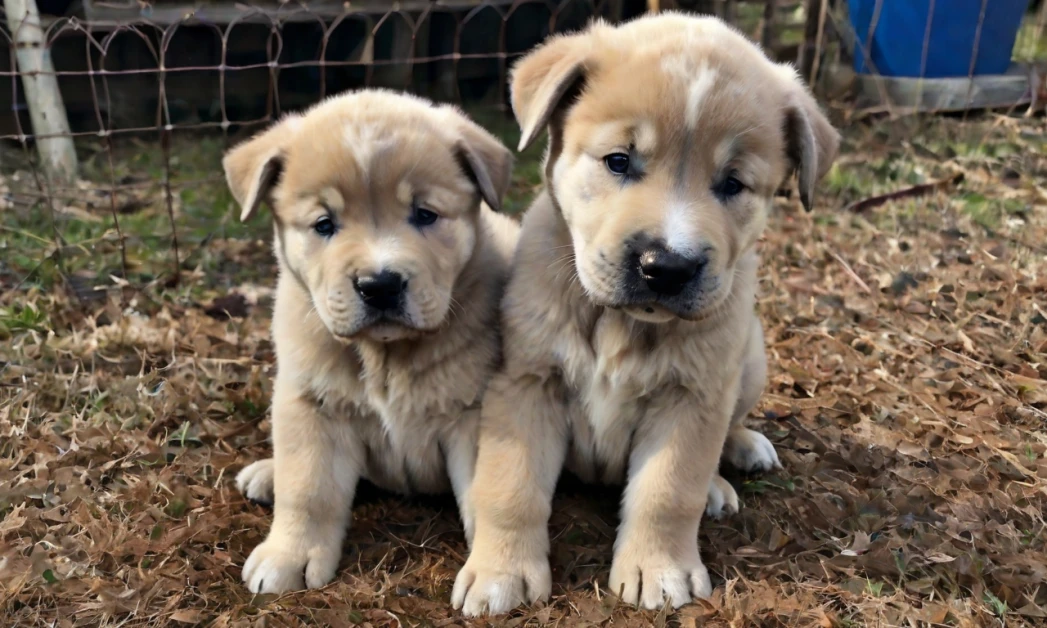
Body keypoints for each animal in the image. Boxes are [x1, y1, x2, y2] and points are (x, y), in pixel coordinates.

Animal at [223, 89, 517, 594]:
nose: (379, 285)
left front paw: (494, 569)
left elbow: (485, 491)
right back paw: (268, 473)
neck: (385, 356)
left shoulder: (472, 415)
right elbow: (308, 489)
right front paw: (289, 555)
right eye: (324, 224)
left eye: (425, 215)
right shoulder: (311, 405)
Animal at [454, 12, 837, 615]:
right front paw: (501, 572)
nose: (668, 267)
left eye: (733, 183)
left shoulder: (693, 397)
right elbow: (510, 485)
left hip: (749, 359)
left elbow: (668, 490)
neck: (620, 324)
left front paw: (659, 569)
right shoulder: (526, 383)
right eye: (619, 161)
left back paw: (736, 459)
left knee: (729, 428)